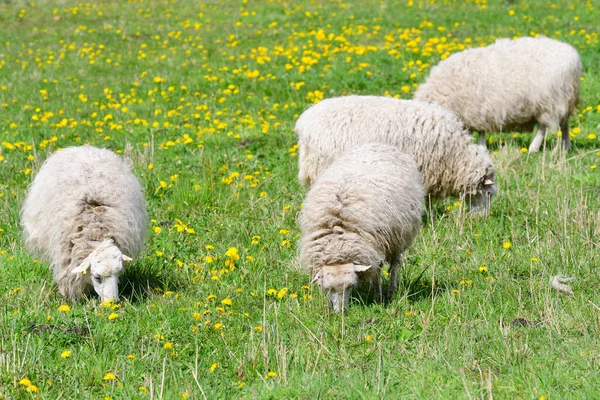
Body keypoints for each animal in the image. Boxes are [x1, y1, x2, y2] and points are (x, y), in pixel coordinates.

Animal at [298, 141, 422, 312]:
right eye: (328, 288)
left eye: (350, 286)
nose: (341, 313)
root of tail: (377, 143)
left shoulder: (376, 246)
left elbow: (377, 273)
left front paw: (378, 297)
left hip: (399, 237)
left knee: (394, 266)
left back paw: (391, 291)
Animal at [412, 36, 580, 152]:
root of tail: (572, 54)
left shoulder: (475, 111)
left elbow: (479, 132)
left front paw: (481, 147)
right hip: (564, 100)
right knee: (564, 124)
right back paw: (566, 146)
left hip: (549, 101)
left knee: (543, 127)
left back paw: (533, 148)